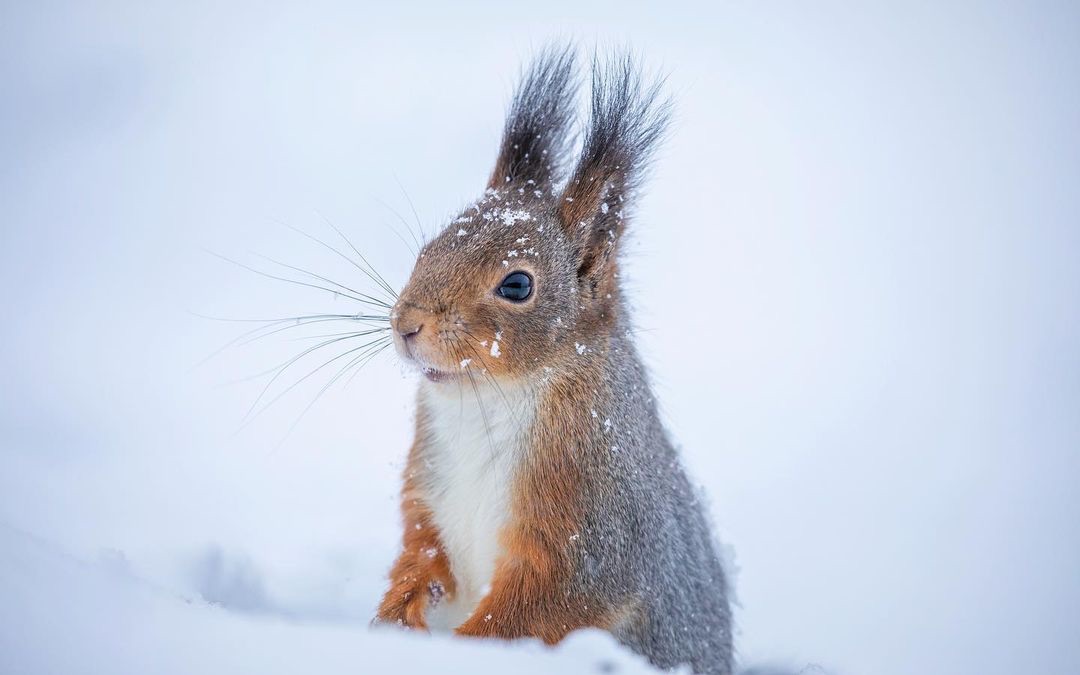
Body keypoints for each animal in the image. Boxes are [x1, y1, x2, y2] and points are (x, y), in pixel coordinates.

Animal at [375, 47, 738, 673]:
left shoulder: (592, 527)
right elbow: (422, 554)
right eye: (428, 248)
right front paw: (392, 621)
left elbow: (538, 606)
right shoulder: (429, 490)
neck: (485, 401)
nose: (407, 324)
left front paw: (460, 652)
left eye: (517, 285)